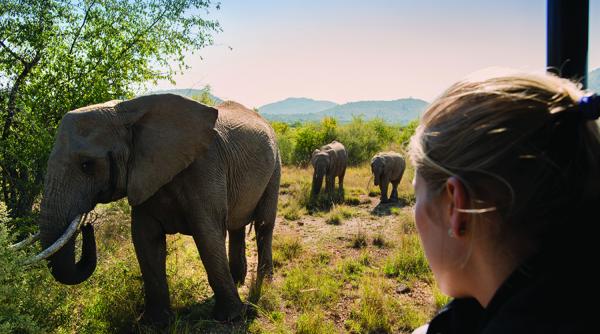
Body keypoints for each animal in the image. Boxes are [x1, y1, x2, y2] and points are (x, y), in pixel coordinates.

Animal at [28, 94, 282, 324]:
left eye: (86, 165)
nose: (87, 223)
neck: (128, 110)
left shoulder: (206, 166)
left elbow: (207, 235)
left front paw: (229, 318)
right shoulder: (143, 175)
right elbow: (144, 239)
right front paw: (155, 322)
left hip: (276, 164)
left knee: (264, 224)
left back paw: (266, 284)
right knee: (237, 226)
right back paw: (238, 280)